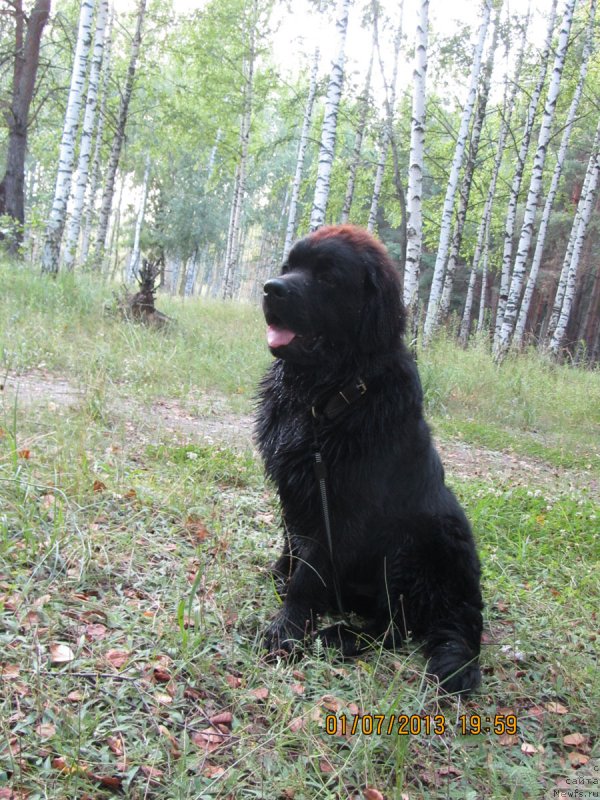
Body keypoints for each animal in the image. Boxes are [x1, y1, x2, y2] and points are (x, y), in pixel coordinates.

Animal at [253, 223, 482, 692]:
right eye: (289, 266)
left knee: (396, 625)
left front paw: (287, 628)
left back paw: (338, 635)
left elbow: (310, 572)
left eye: (326, 276)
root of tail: (465, 602)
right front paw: (279, 576)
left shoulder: (341, 508)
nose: (270, 288)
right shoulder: (296, 487)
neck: (325, 395)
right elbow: (292, 545)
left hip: (416, 542)